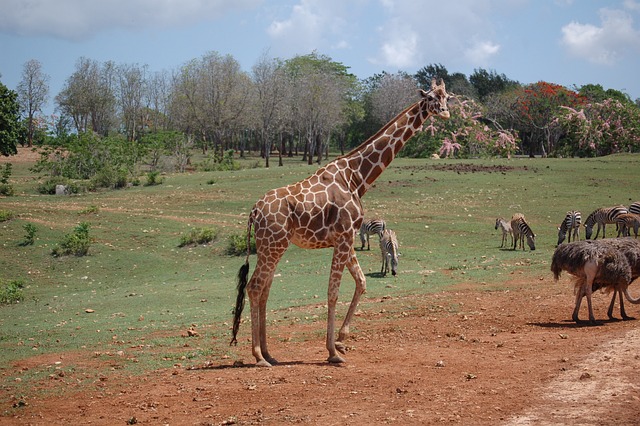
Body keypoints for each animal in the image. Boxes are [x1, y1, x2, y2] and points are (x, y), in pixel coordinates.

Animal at [230, 79, 450, 366]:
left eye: (449, 97)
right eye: (432, 98)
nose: (446, 113)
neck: (356, 177)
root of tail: (254, 211)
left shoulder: (346, 238)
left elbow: (362, 282)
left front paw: (341, 340)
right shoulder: (345, 236)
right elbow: (333, 292)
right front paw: (333, 352)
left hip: (273, 246)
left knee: (264, 288)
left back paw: (269, 353)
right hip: (273, 244)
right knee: (255, 287)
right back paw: (258, 356)